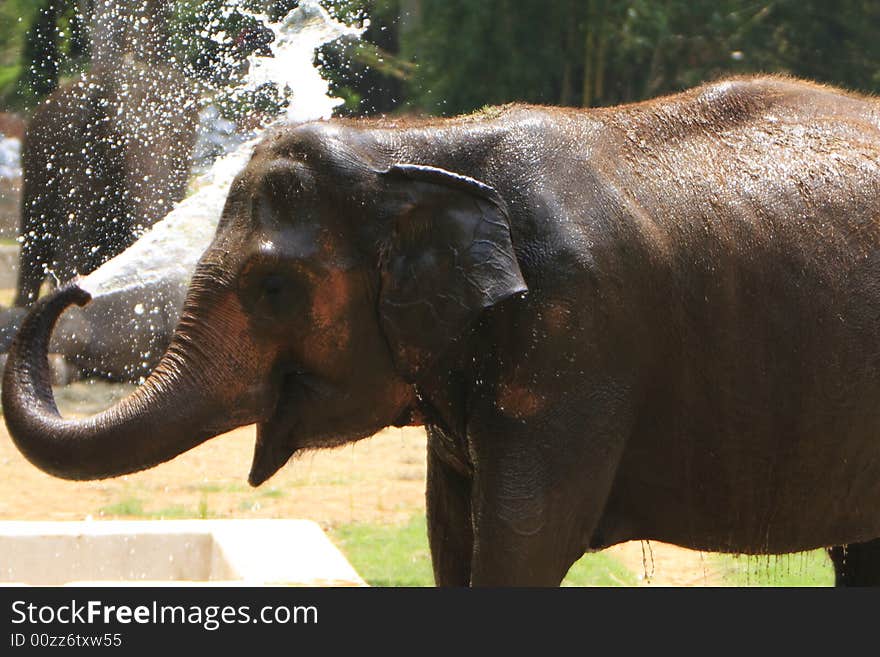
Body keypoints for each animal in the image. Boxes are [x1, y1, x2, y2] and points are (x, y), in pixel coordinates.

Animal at [14, 57, 197, 308]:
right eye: (116, 140)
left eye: (178, 139)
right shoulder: (79, 159)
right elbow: (71, 247)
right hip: (35, 176)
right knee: (34, 254)